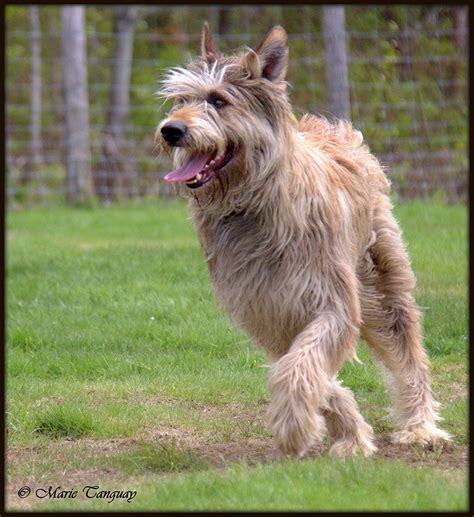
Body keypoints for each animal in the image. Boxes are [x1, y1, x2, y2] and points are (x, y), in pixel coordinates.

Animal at [157, 23, 450, 456]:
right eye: (180, 99)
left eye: (219, 100)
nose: (170, 130)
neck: (253, 202)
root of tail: (331, 126)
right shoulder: (267, 309)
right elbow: (301, 367)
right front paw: (351, 432)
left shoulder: (332, 301)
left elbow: (302, 364)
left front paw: (294, 426)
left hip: (380, 281)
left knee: (408, 352)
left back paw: (421, 426)